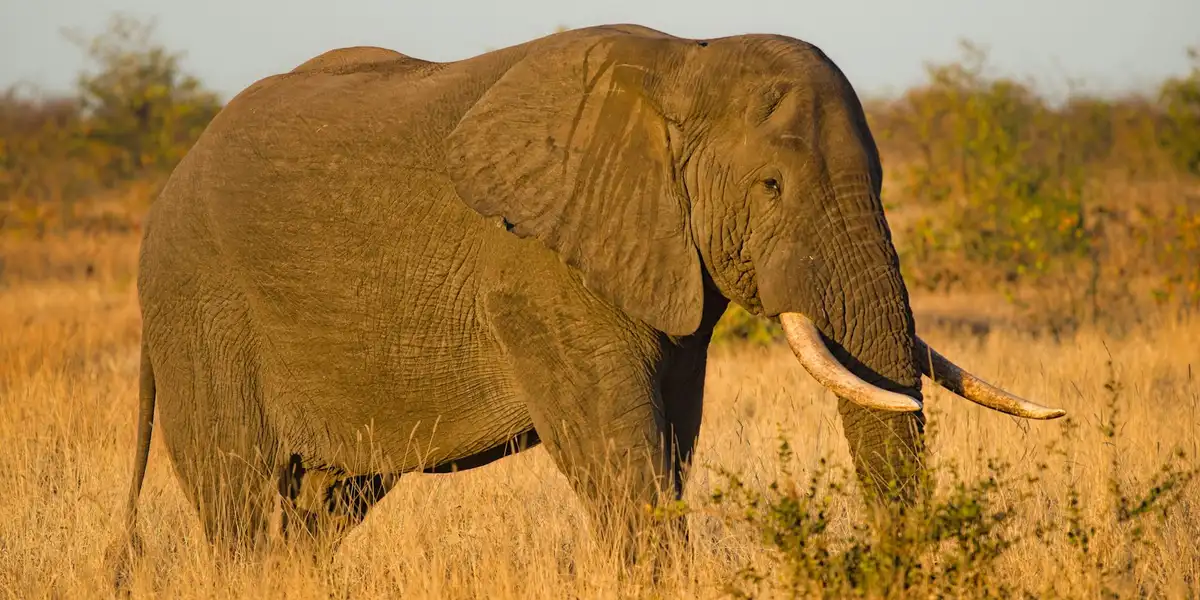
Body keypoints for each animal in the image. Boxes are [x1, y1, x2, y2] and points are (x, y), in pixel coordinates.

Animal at [108, 23, 1066, 578]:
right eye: (771, 185)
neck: (684, 62)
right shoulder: (537, 267)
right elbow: (618, 452)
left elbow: (670, 440)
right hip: (199, 306)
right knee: (239, 503)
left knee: (318, 514)